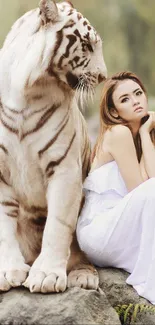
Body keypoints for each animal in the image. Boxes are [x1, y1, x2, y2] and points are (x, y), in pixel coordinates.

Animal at [0, 0, 106, 292]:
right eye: (87, 45)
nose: (104, 77)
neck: (26, 92)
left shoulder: (64, 168)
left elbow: (57, 225)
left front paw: (46, 275)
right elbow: (4, 227)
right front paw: (8, 271)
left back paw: (83, 277)